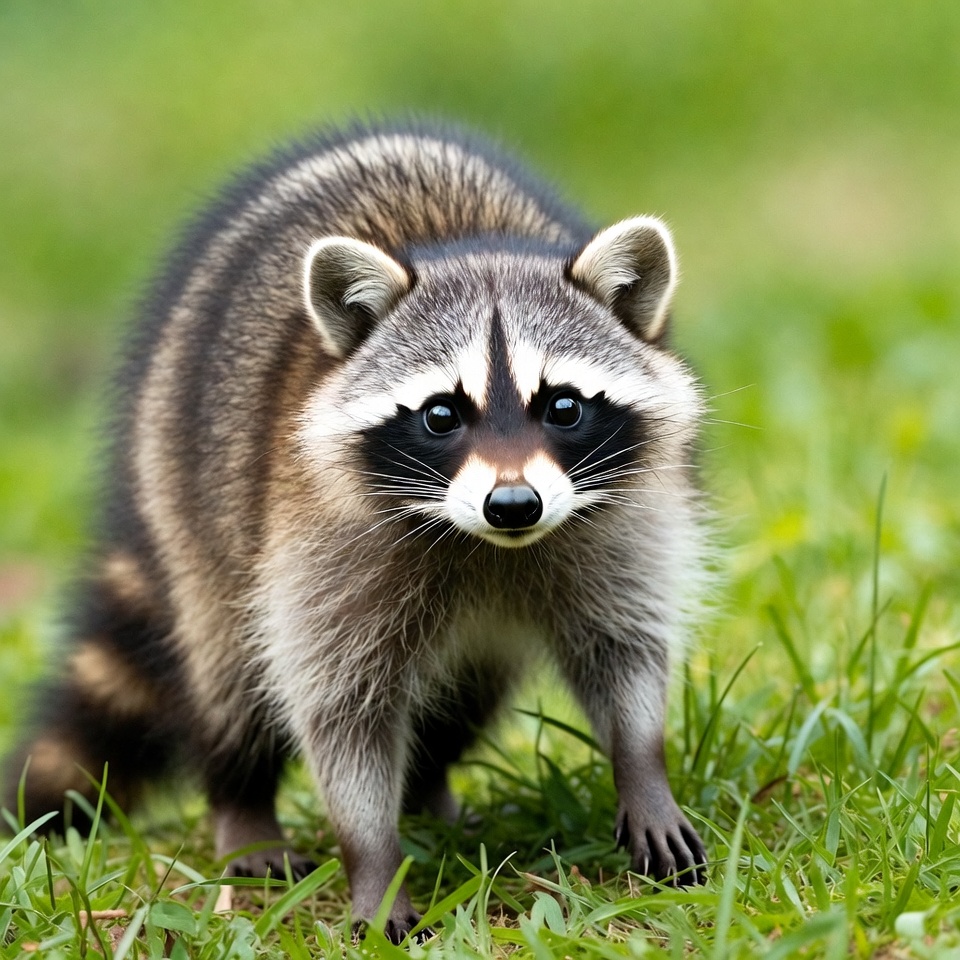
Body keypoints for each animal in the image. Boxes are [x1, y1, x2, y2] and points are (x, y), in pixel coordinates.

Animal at [5, 120, 708, 940]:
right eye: (441, 414)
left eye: (562, 406)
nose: (513, 504)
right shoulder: (319, 550)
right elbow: (342, 715)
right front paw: (373, 862)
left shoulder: (619, 523)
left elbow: (624, 651)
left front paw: (643, 769)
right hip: (188, 497)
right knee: (229, 679)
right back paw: (242, 802)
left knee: (461, 698)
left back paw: (431, 793)